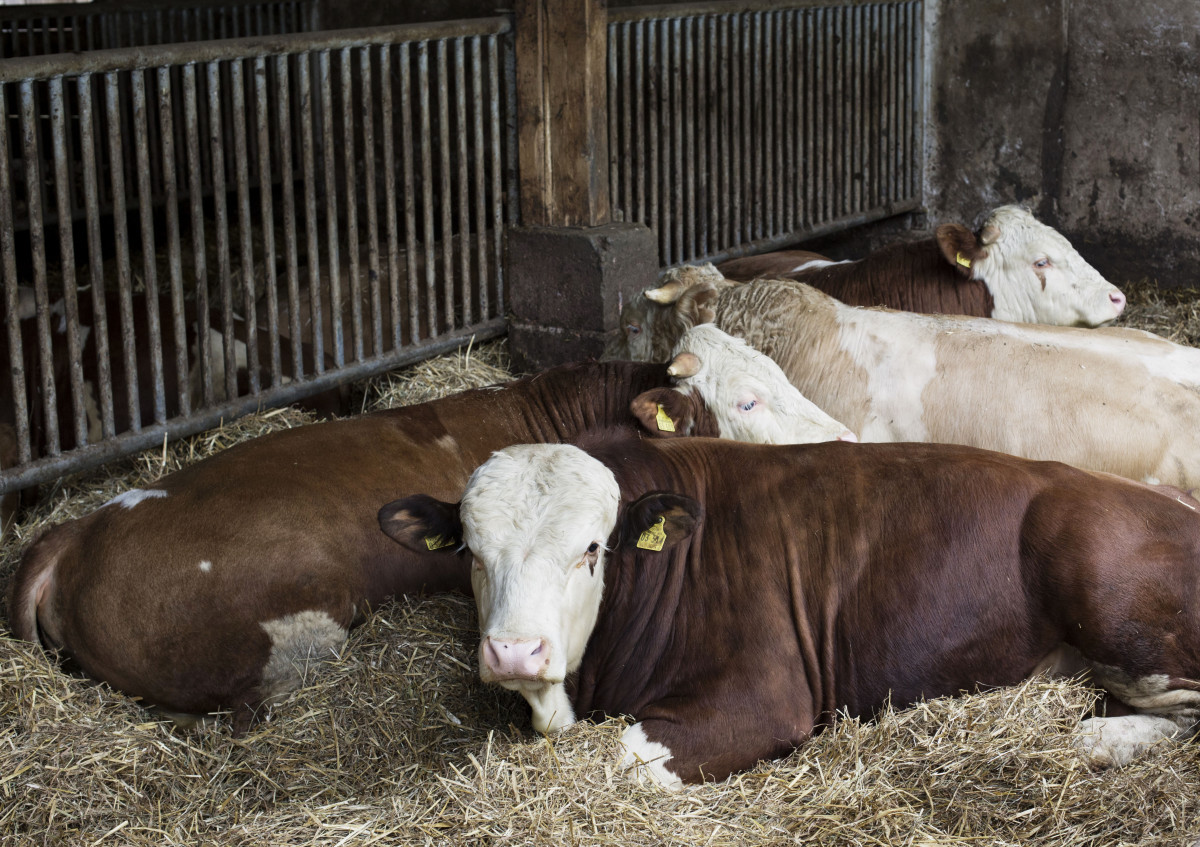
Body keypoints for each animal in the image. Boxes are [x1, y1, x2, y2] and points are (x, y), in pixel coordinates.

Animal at [379, 436, 1200, 787]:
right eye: (472, 552)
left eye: (591, 549)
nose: (515, 651)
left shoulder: (765, 693)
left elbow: (623, 758)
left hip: (1107, 594)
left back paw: (1099, 739)